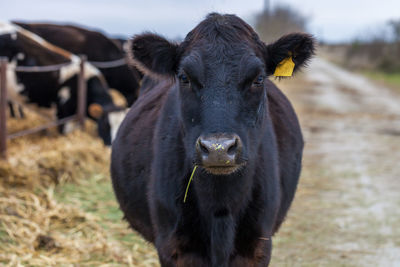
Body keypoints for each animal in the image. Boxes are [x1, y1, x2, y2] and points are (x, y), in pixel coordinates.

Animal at [111, 13, 314, 266]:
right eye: (184, 77)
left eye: (258, 79)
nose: (219, 148)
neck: (220, 206)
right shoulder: (172, 246)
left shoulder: (258, 247)